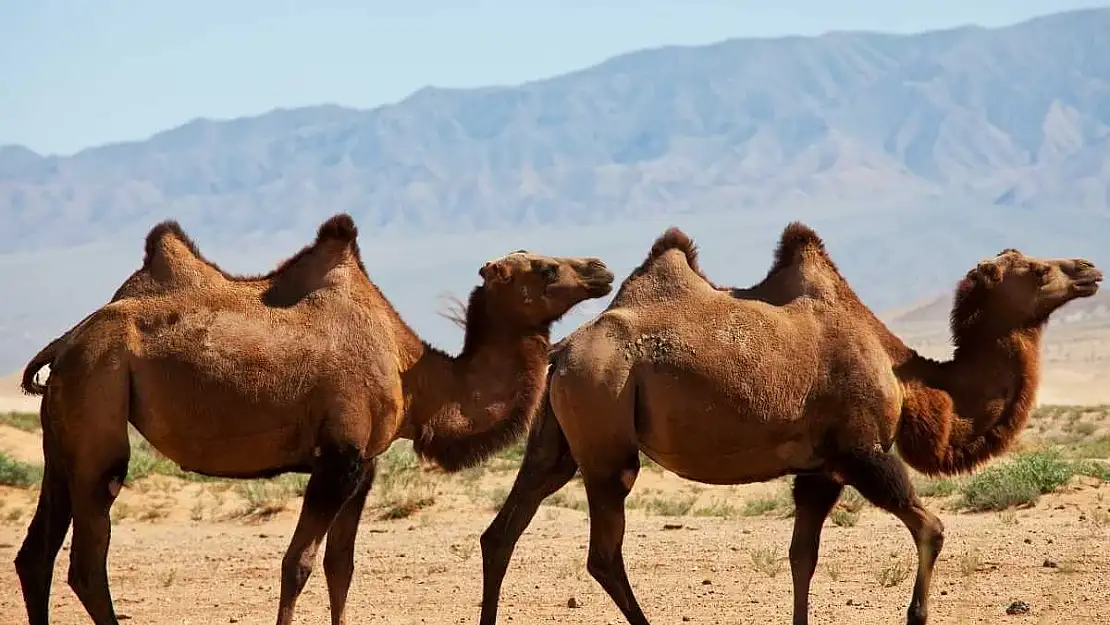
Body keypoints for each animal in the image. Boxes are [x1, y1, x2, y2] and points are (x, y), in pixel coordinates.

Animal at [10, 214, 617, 625]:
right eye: (545, 267)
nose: (601, 268)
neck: (414, 376)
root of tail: (66, 341)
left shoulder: (364, 466)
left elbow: (339, 565)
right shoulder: (337, 460)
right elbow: (297, 563)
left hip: (63, 433)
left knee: (35, 555)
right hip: (99, 402)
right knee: (86, 560)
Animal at [477, 224, 1101, 625]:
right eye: (1038, 270)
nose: (1089, 267)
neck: (904, 374)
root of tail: (562, 351)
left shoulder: (818, 471)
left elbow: (803, 559)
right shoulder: (862, 452)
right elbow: (932, 528)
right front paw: (916, 615)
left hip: (557, 441)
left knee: (502, 531)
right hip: (606, 434)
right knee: (603, 552)